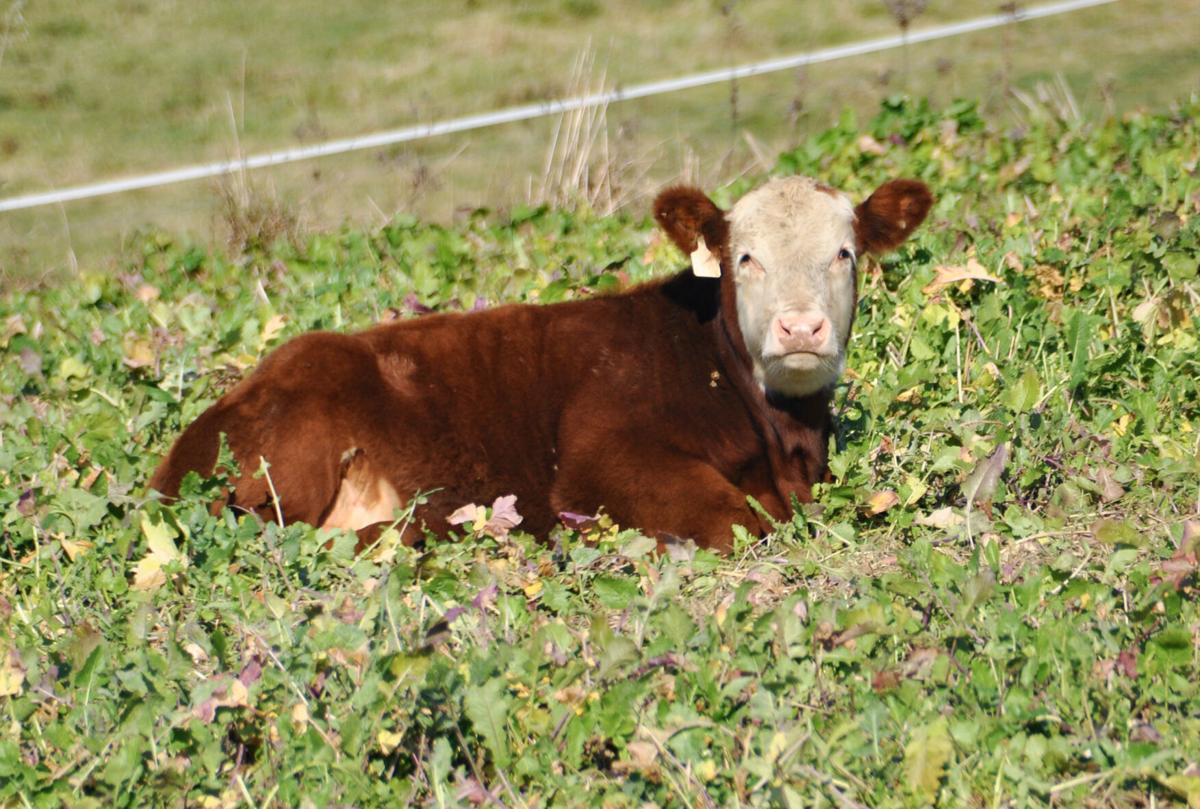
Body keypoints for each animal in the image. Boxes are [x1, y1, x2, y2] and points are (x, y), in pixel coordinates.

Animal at [150, 175, 932, 552]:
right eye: (746, 257)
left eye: (845, 252)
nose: (800, 326)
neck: (778, 442)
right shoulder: (599, 457)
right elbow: (738, 524)